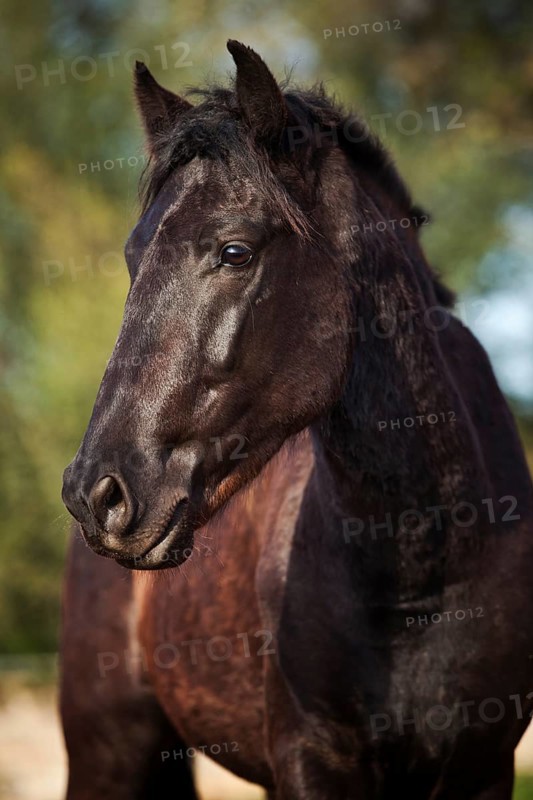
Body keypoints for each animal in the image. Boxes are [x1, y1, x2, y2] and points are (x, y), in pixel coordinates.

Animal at [61, 40, 533, 799]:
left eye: (234, 251)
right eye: (133, 256)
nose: (95, 493)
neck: (427, 574)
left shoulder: (484, 769)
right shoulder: (311, 764)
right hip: (108, 753)